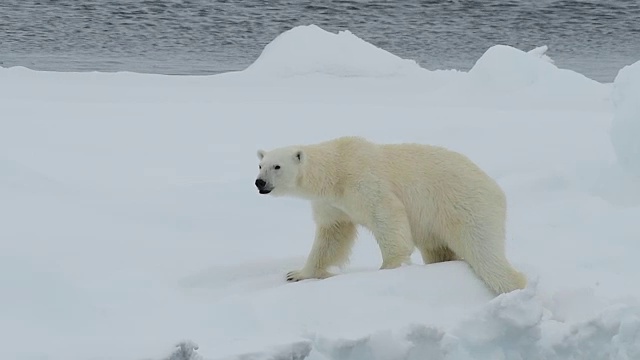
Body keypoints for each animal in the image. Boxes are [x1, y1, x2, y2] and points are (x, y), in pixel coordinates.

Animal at [252, 136, 528, 294]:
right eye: (260, 165)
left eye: (277, 166)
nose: (259, 183)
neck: (335, 171)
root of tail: (495, 188)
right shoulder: (332, 203)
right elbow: (332, 236)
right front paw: (297, 274)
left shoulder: (363, 180)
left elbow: (386, 214)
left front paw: (388, 267)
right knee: (438, 250)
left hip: (466, 207)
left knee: (484, 252)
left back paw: (515, 287)